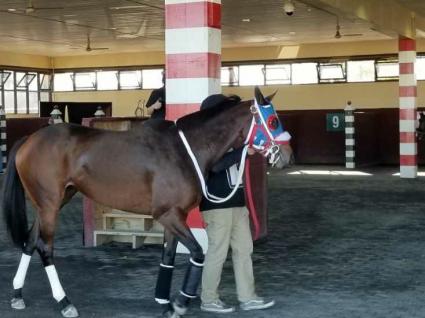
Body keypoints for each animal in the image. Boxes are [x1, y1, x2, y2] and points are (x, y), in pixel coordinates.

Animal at [2, 87, 292, 318]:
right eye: (273, 121)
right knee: (45, 248)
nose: (287, 155)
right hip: (50, 205)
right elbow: (198, 253)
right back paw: (64, 302)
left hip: (53, 202)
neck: (183, 150)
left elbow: (168, 257)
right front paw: (180, 303)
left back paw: (17, 294)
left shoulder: (175, 217)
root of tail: (30, 140)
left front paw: (165, 303)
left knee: (30, 241)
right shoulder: (168, 215)